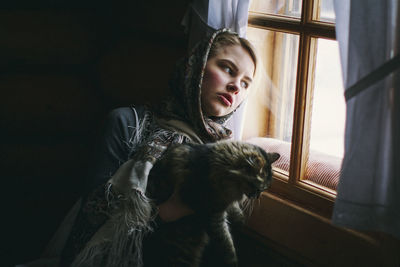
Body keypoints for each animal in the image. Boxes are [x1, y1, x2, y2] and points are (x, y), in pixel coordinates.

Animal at [144, 141, 278, 266]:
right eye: (259, 189)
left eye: (263, 190)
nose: (258, 196)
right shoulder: (212, 214)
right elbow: (226, 243)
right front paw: (232, 262)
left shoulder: (224, 202)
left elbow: (234, 208)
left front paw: (240, 220)